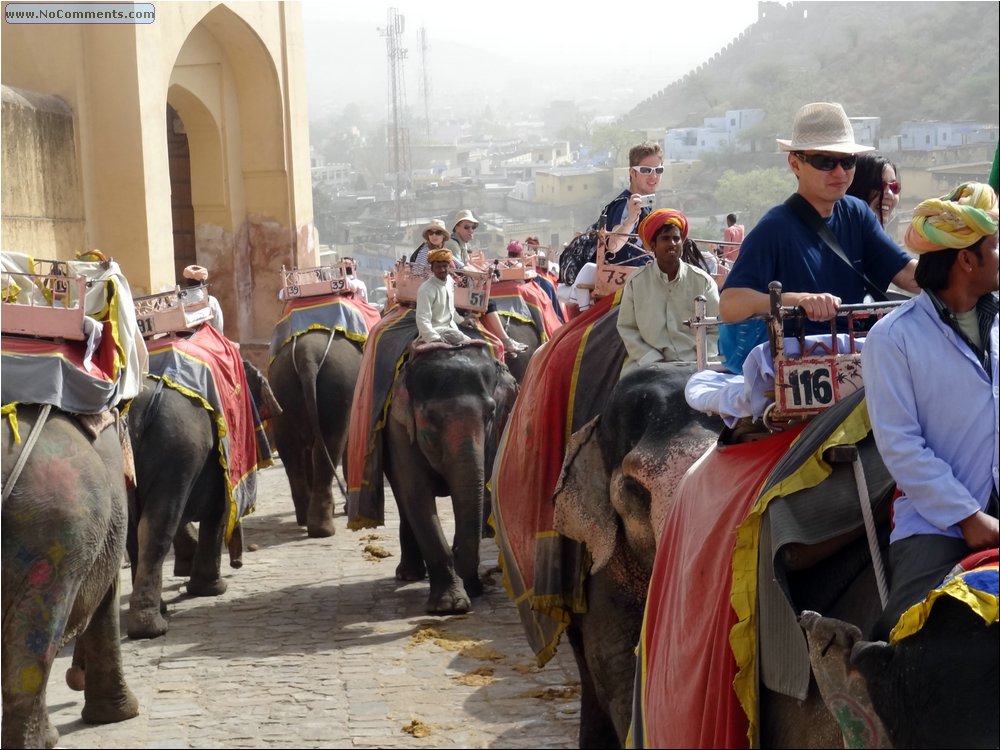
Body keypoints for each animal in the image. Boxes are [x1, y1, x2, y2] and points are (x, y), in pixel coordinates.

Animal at [127, 360, 282, 640]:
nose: (237, 563)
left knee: (133, 532)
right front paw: (213, 589)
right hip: (179, 449)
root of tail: (137, 413)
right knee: (157, 529)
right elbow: (217, 513)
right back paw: (151, 629)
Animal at [268, 332, 366, 536]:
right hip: (338, 389)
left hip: (281, 390)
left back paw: (305, 519)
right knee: (330, 446)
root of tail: (308, 357)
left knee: (291, 452)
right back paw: (323, 529)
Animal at [382, 344, 520, 612]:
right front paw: (450, 606)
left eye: (490, 413)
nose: (476, 585)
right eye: (431, 418)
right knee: (403, 500)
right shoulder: (398, 431)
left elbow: (482, 484)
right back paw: (409, 574)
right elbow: (417, 495)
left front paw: (471, 588)